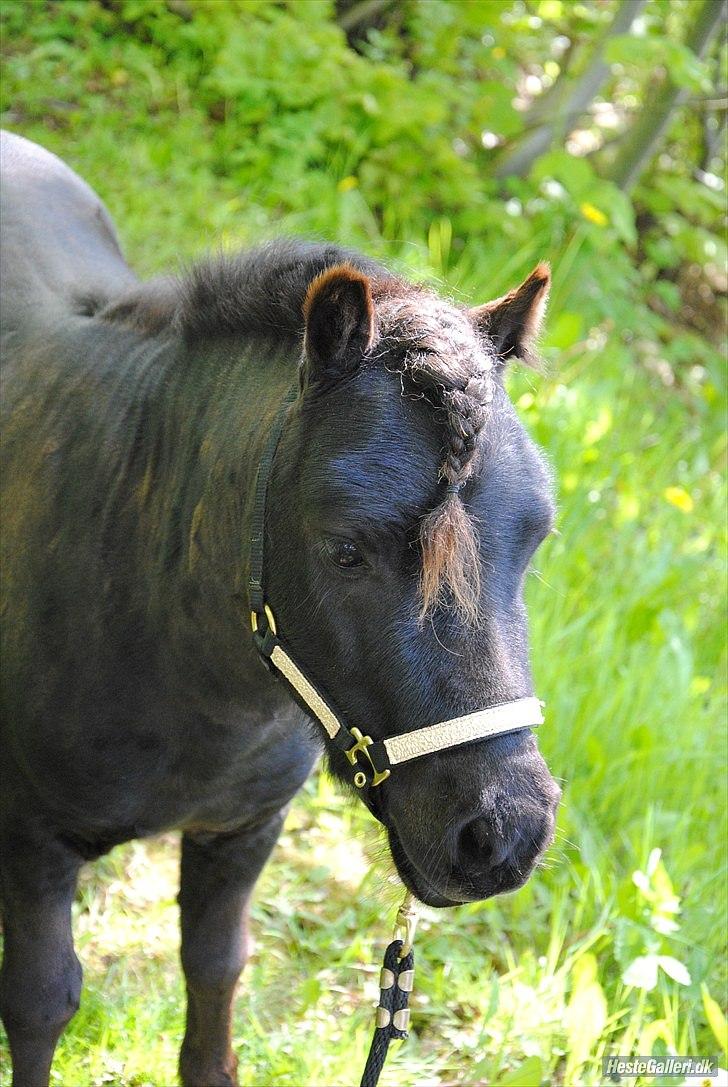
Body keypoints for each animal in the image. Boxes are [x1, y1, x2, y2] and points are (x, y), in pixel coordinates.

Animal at [0, 131, 560, 1082]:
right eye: (346, 550)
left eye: (536, 538)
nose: (503, 835)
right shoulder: (34, 843)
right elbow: (39, 1004)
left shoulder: (243, 833)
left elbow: (215, 970)